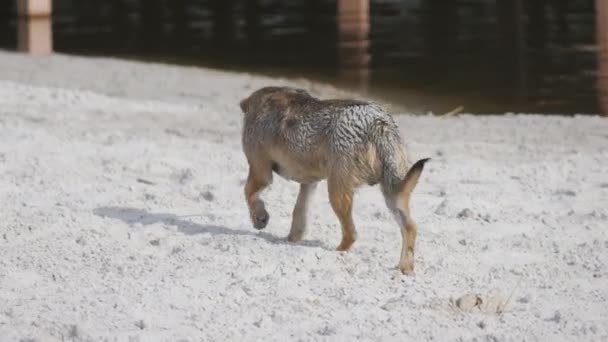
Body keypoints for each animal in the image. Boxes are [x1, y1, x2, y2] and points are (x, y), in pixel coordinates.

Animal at [238, 87, 428, 274]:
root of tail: (377, 122)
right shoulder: (309, 184)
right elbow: (298, 214)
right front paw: (292, 239)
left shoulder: (260, 172)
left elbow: (249, 194)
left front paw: (259, 218)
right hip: (393, 195)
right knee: (410, 228)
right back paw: (405, 269)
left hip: (338, 193)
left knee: (352, 234)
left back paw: (338, 251)